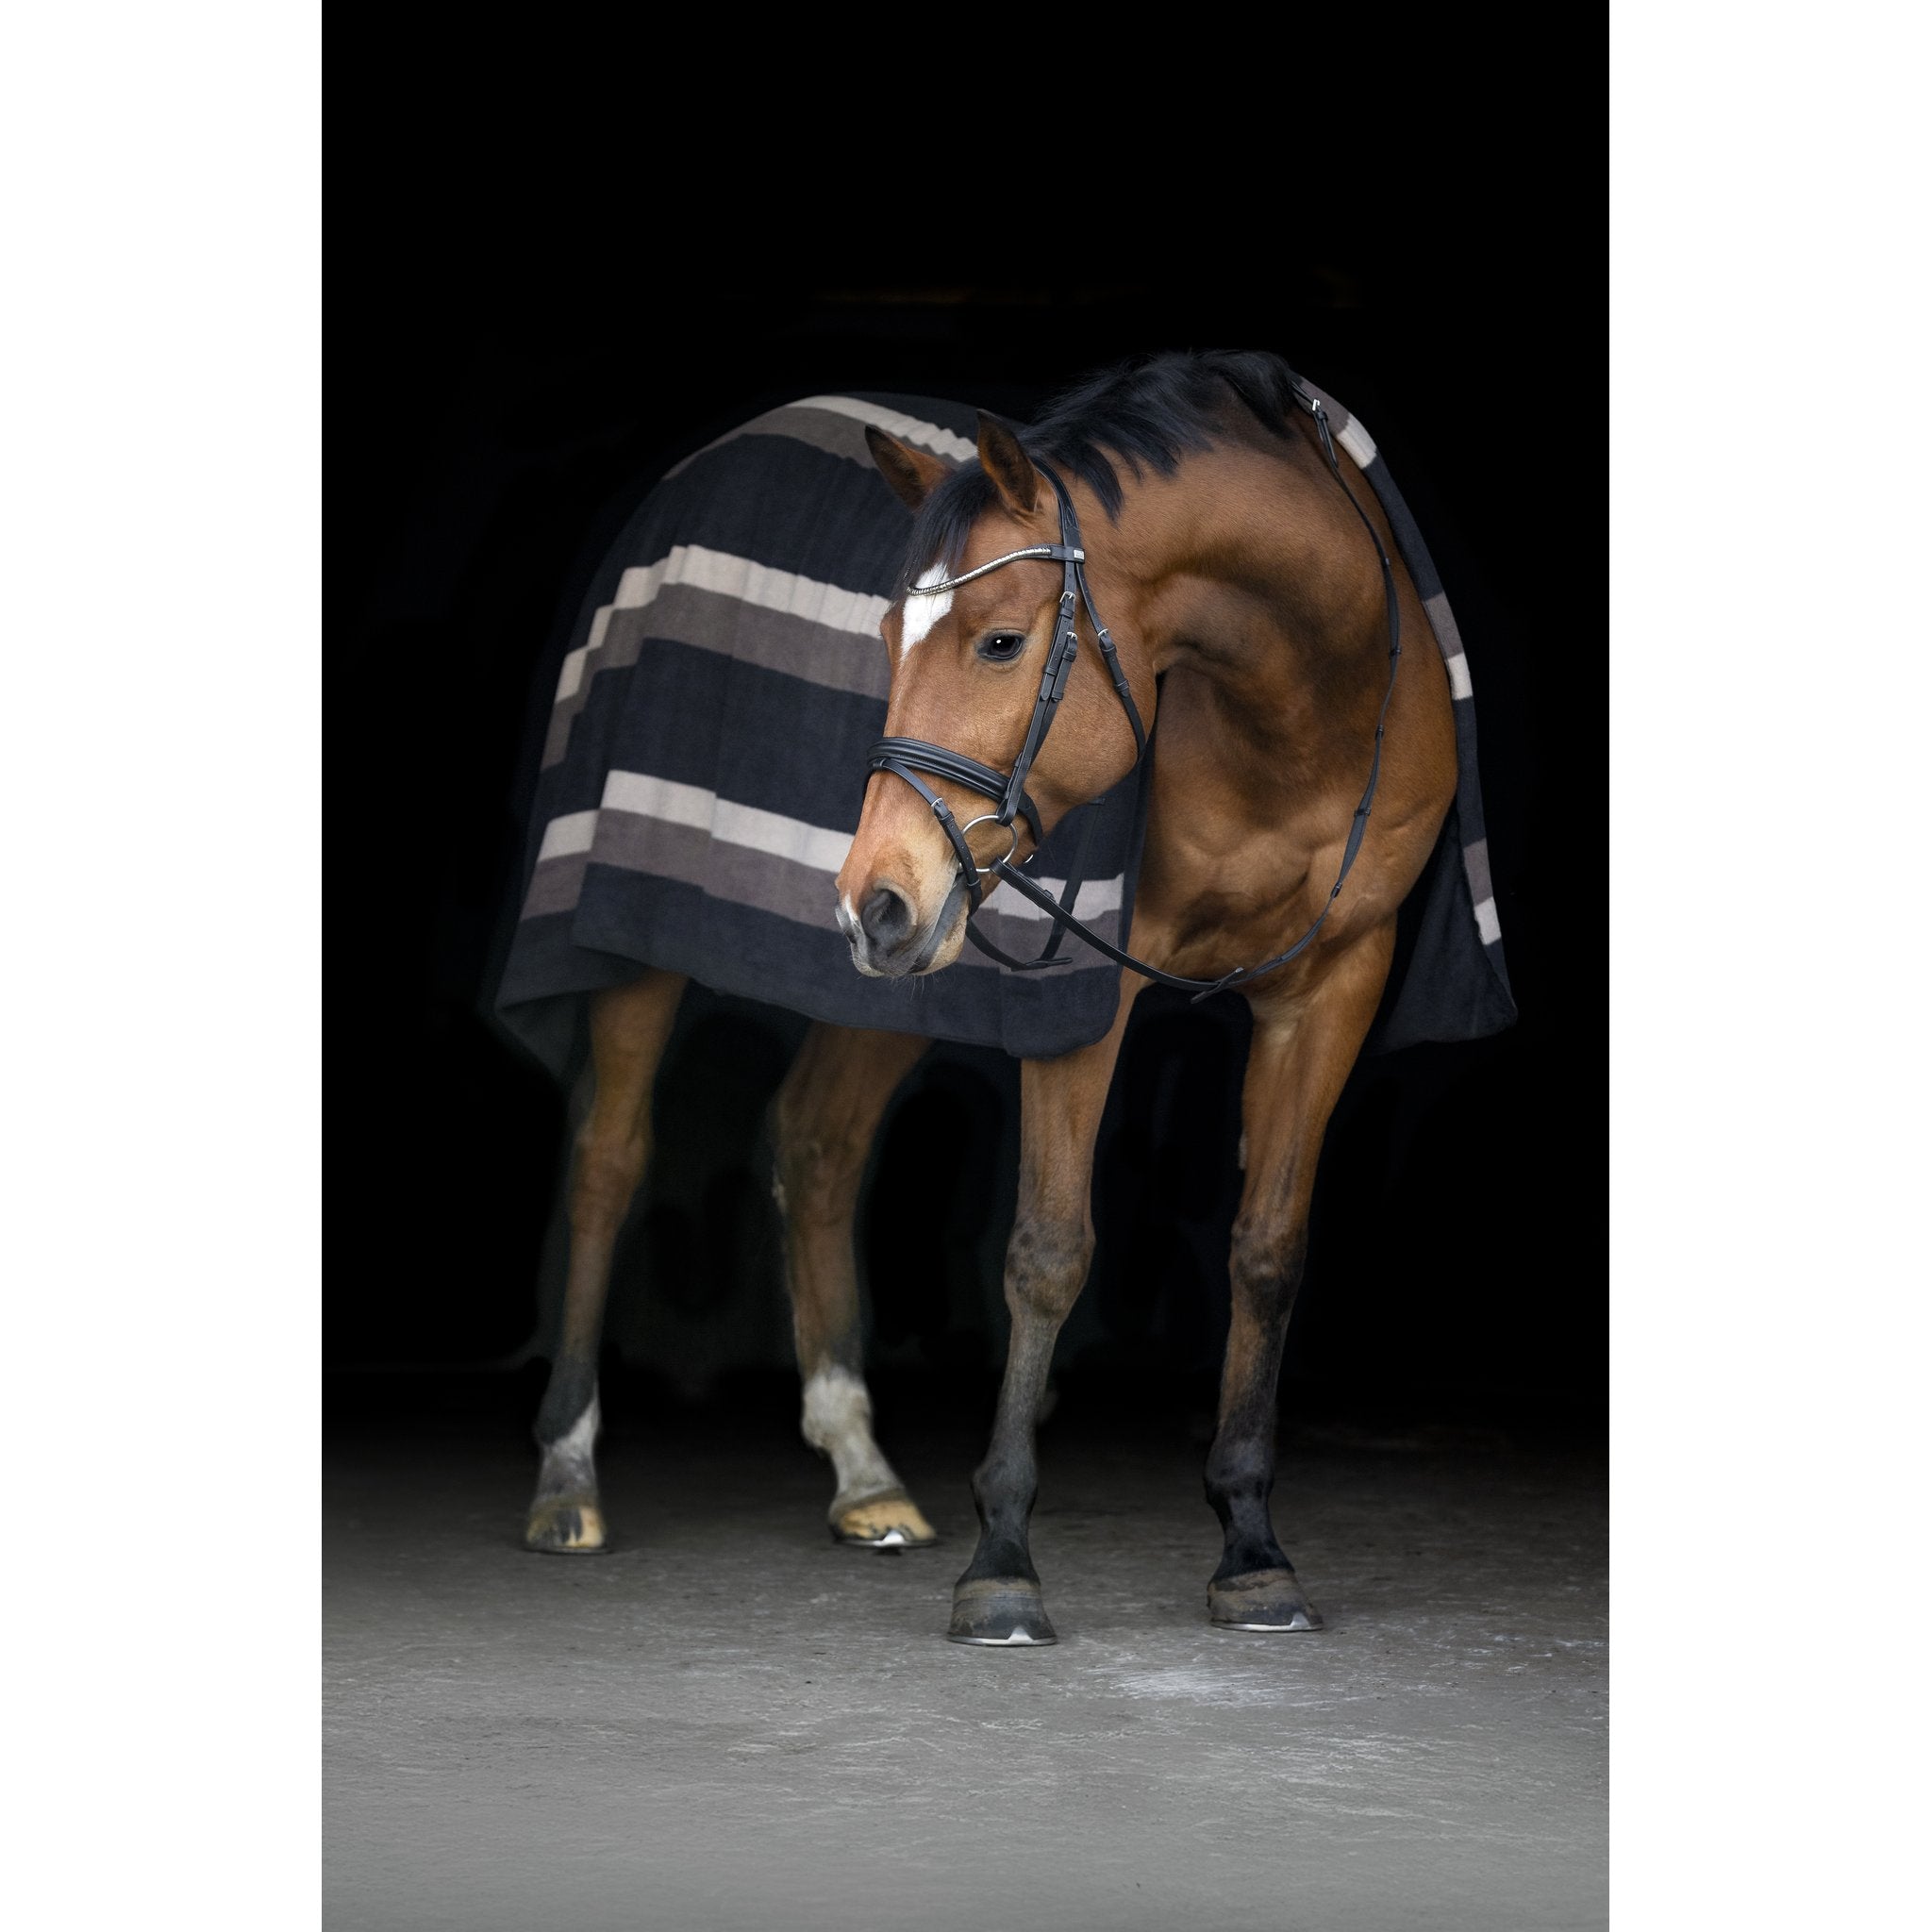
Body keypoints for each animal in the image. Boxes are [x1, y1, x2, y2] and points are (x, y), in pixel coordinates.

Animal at [502, 351, 1512, 1645]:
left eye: (996, 641)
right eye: (886, 632)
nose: (866, 897)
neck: (1295, 710)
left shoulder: (1334, 981)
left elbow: (1267, 1250)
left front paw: (1250, 1546)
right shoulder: (1085, 987)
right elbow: (1047, 1250)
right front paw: (1003, 1562)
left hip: (905, 967)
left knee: (818, 1144)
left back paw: (863, 1475)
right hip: (664, 940)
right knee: (608, 1157)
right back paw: (568, 1475)